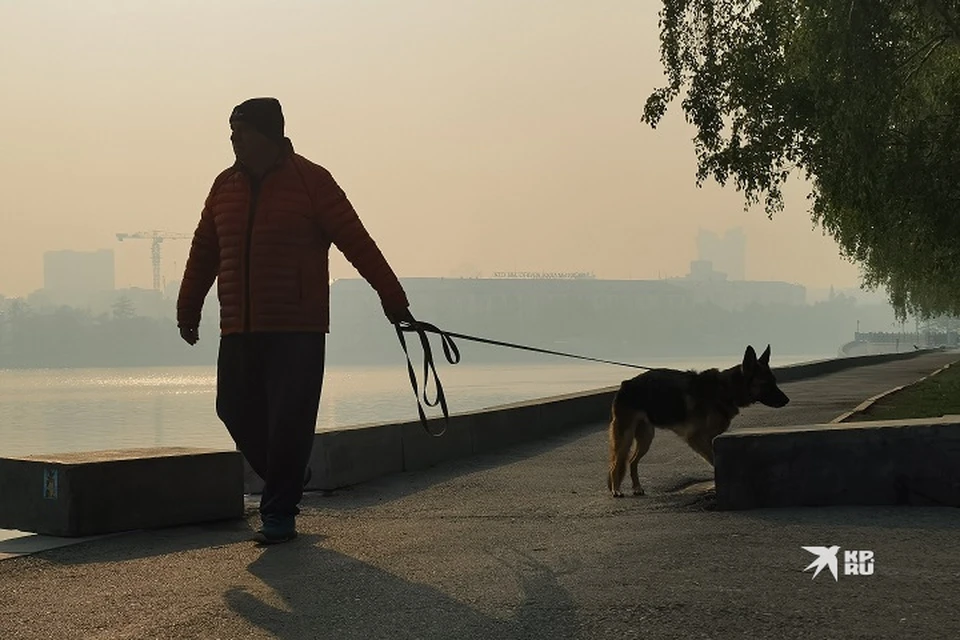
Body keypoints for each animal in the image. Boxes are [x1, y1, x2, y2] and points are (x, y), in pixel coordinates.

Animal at [608, 344, 788, 496]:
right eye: (766, 384)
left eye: (774, 382)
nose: (787, 401)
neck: (725, 390)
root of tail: (626, 384)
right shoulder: (696, 439)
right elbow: (714, 461)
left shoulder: (710, 439)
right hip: (626, 438)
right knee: (616, 463)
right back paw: (616, 490)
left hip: (646, 438)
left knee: (632, 461)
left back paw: (637, 488)